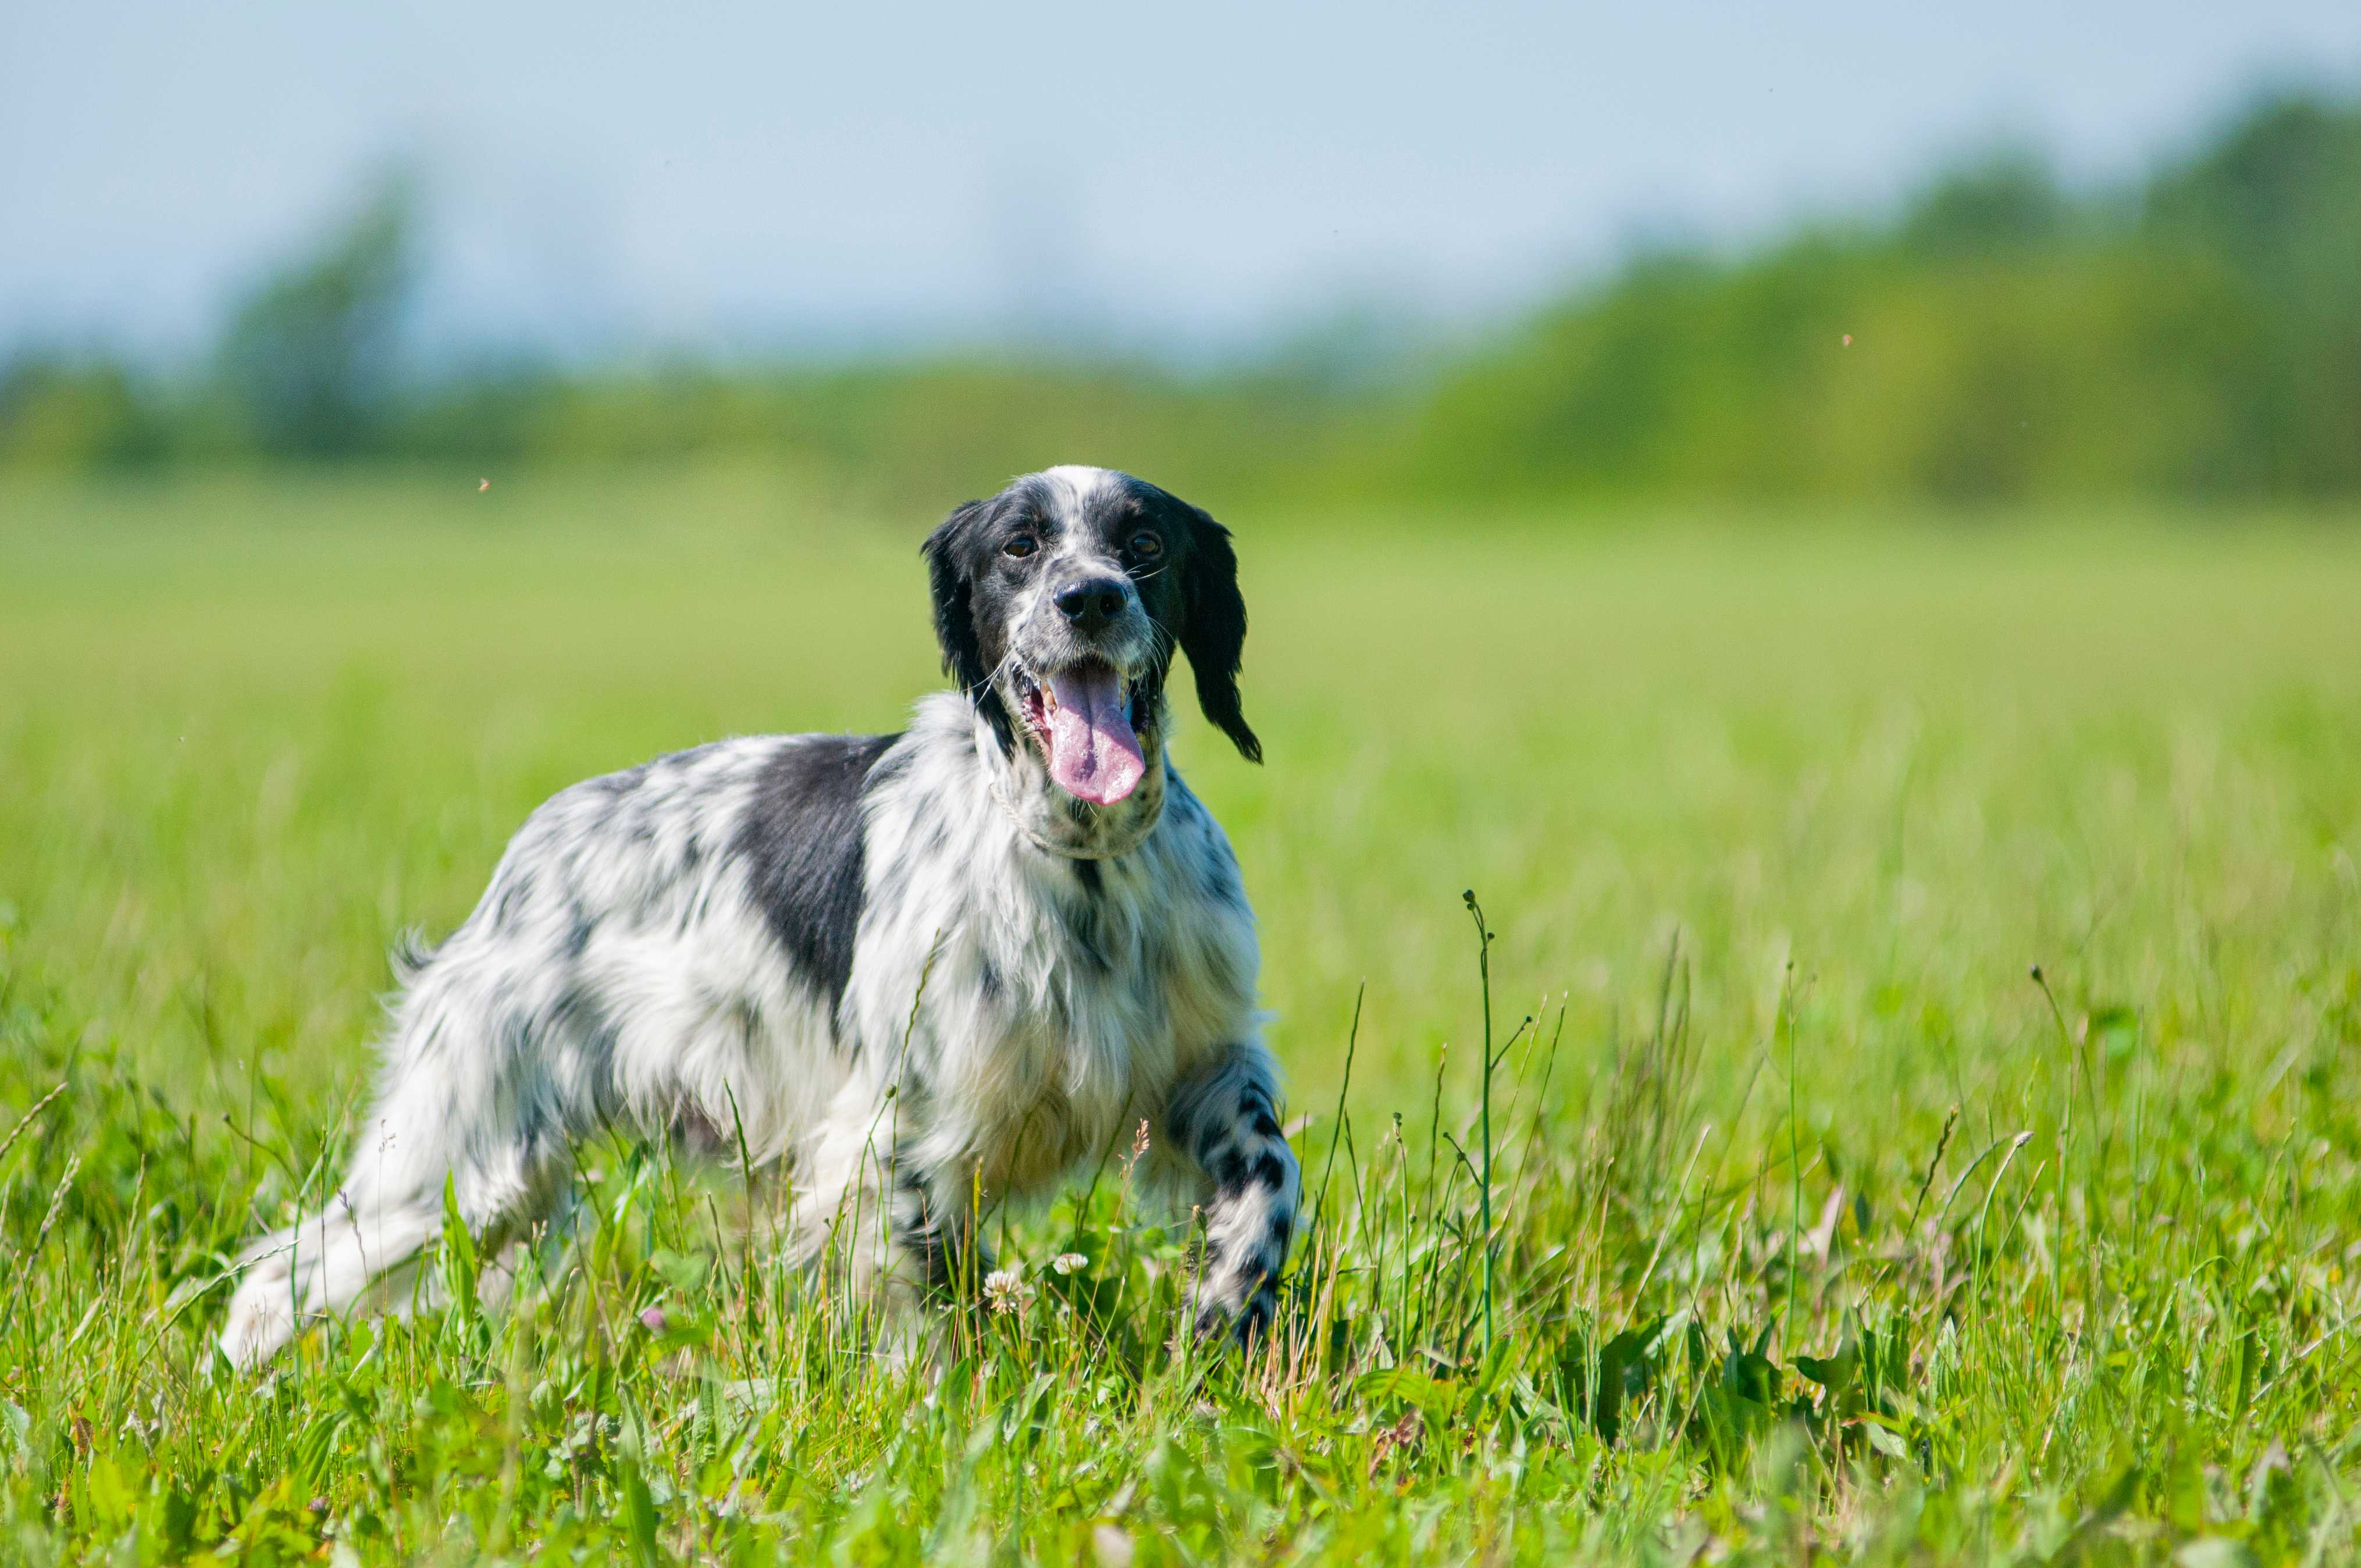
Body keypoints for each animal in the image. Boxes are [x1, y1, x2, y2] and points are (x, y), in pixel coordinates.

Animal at [217, 460, 1294, 1369]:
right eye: (1019, 547)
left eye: (1143, 542)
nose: (1090, 598)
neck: (1079, 862)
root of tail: (525, 854)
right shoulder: (892, 1130)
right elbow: (919, 1306)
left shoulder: (1202, 1064)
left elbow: (1269, 1181)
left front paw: (1220, 1319)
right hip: (462, 1159)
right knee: (272, 1286)